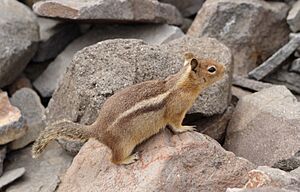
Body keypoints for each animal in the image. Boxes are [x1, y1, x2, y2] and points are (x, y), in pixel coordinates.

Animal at [32, 52, 225, 165]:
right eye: (212, 69)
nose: (225, 68)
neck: (181, 84)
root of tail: (97, 129)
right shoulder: (177, 111)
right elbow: (176, 125)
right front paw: (186, 128)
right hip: (124, 144)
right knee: (113, 160)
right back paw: (129, 159)